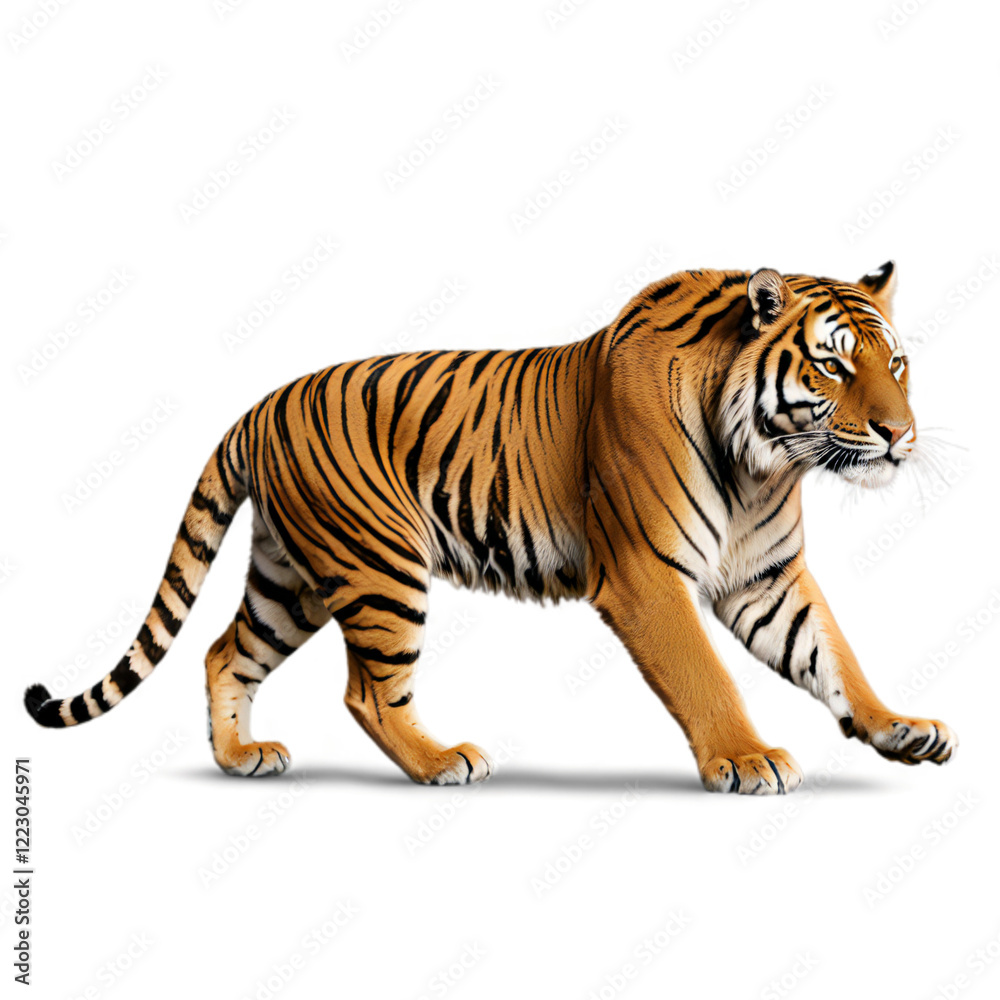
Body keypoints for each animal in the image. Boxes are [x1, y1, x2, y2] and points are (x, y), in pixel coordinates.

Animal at [24, 261, 958, 793]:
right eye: (832, 364)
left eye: (897, 363)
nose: (899, 432)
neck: (767, 464)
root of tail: (259, 407)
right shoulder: (645, 577)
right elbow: (705, 676)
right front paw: (747, 760)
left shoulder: (767, 580)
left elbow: (833, 653)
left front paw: (897, 729)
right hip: (379, 568)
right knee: (367, 691)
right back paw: (442, 764)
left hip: (291, 579)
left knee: (226, 651)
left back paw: (239, 758)